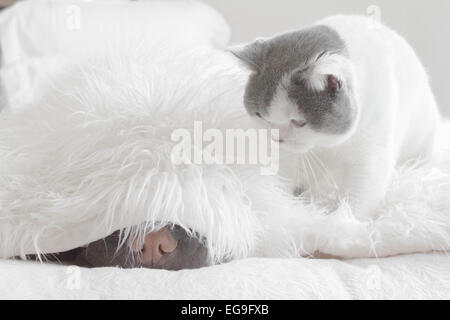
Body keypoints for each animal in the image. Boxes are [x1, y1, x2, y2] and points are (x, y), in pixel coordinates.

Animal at [232, 15, 440, 220]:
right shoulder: (288, 156)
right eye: (260, 115)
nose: (277, 138)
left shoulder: (372, 154)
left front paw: (345, 223)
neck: (329, 144)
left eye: (299, 122)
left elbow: (360, 198)